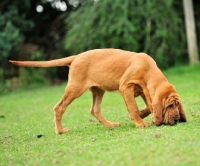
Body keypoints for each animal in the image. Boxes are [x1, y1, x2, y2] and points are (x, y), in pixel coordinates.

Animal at [9, 48, 188, 134]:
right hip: (75, 88)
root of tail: (76, 57)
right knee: (59, 107)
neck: (148, 70)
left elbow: (149, 107)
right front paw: (140, 122)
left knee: (94, 110)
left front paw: (143, 116)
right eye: (170, 105)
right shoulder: (126, 86)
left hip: (98, 90)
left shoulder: (144, 92)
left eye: (177, 105)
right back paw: (60, 131)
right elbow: (133, 107)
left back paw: (110, 125)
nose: (177, 119)